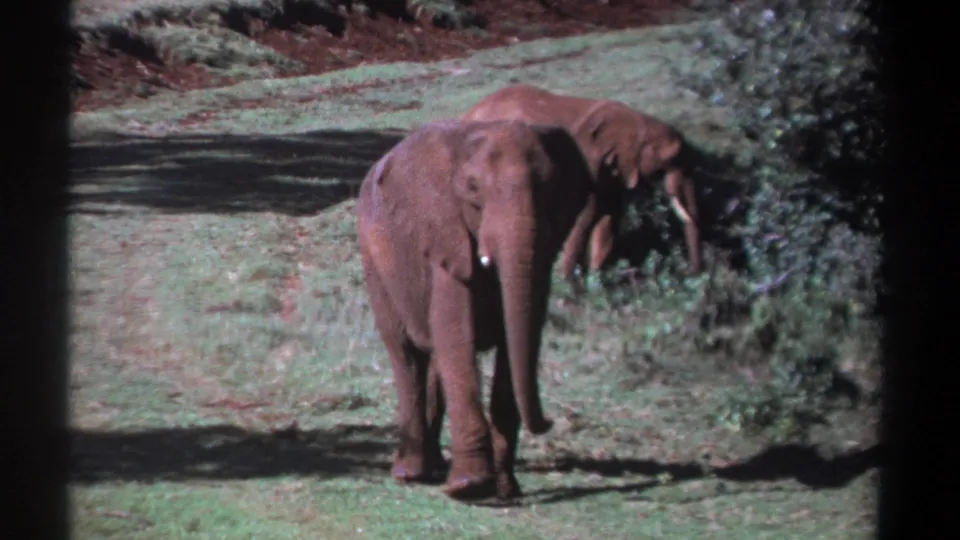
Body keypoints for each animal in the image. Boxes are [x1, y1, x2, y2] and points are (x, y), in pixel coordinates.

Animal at [356, 120, 600, 501]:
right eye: (473, 189)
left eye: (550, 187)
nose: (548, 422)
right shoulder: (447, 236)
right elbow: (454, 332)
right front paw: (470, 487)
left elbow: (517, 338)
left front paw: (504, 488)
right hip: (375, 263)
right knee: (406, 354)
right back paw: (410, 474)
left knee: (433, 357)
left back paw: (435, 469)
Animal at [462, 84, 702, 278]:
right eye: (670, 160)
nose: (693, 274)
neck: (635, 120)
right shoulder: (589, 164)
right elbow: (585, 217)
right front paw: (571, 286)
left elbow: (608, 221)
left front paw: (597, 280)